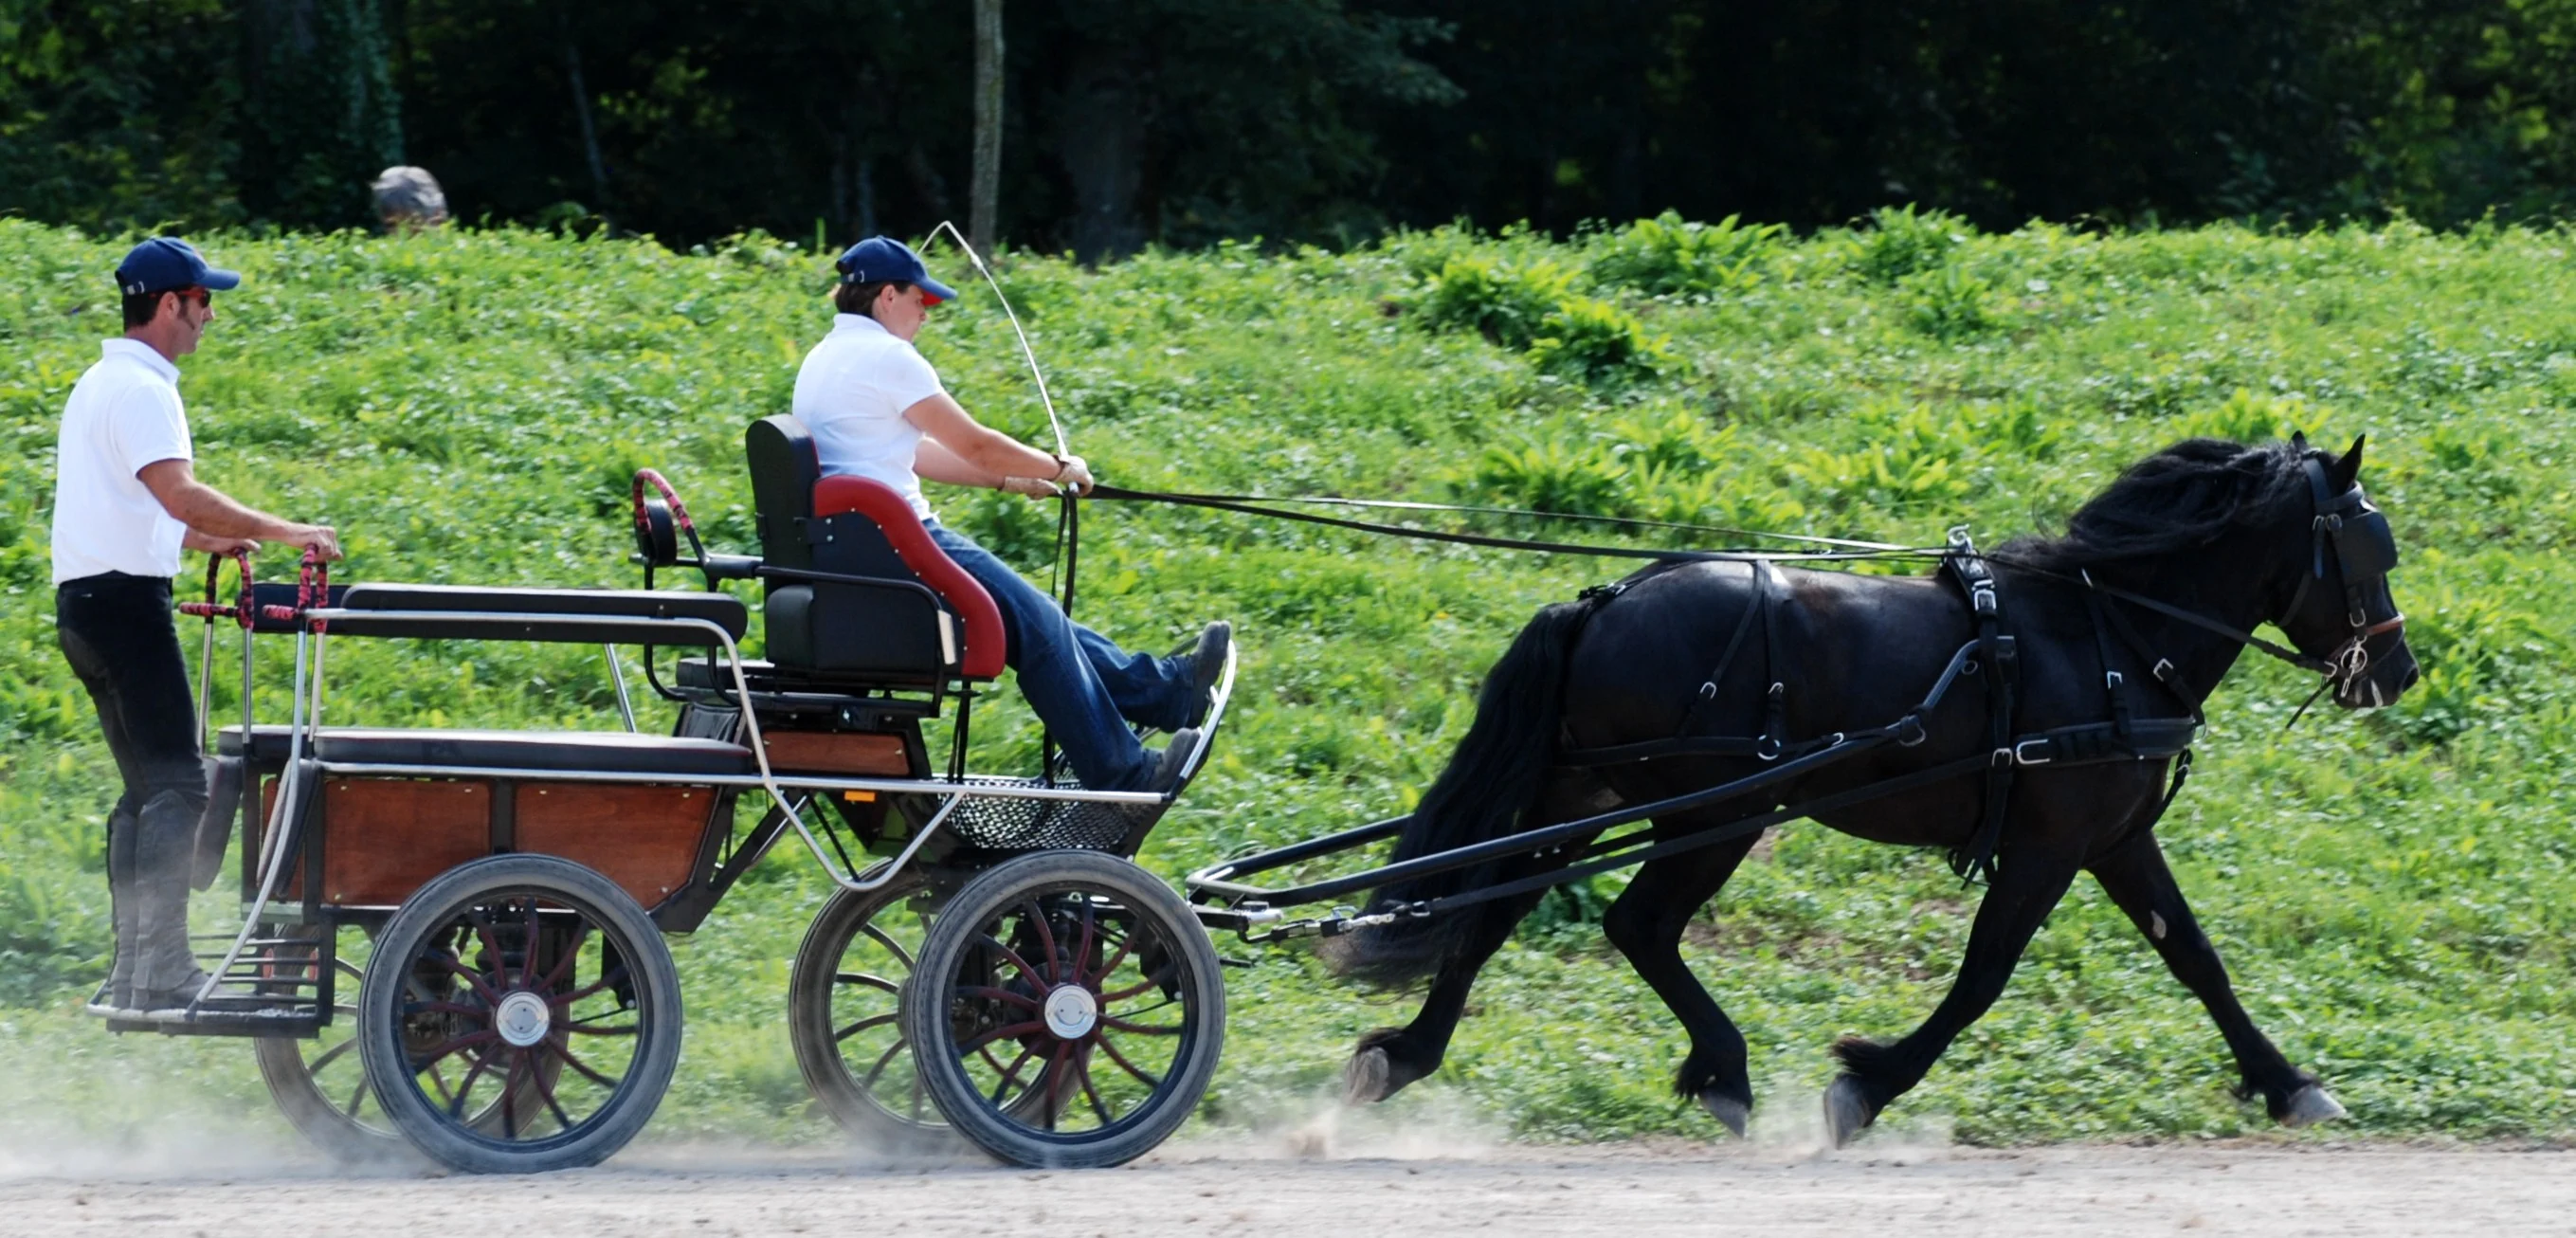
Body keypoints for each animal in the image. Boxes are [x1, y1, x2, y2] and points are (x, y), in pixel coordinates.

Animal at [1324, 435, 2417, 1146]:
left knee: (1492, 912)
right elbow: (1982, 977)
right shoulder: (2048, 846)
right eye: (2371, 545)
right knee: (1637, 924)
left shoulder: (2113, 840)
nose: (2398, 672)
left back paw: (1407, 1053)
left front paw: (2287, 1084)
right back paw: (1724, 1067)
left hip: (1584, 796)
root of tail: (1604, 599)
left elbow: (2195, 957)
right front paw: (1870, 1084)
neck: (2106, 633)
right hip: (1714, 811)